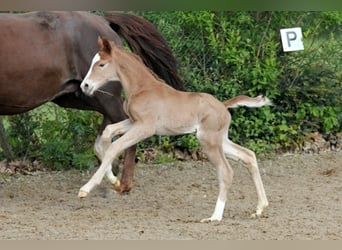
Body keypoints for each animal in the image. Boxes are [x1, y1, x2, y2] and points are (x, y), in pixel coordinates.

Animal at [79, 36, 270, 222]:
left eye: (101, 64)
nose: (85, 86)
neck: (142, 88)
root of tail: (223, 106)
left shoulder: (146, 127)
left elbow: (115, 146)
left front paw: (87, 188)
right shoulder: (133, 122)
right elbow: (108, 132)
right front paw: (113, 178)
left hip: (209, 142)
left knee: (226, 171)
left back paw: (215, 216)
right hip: (220, 141)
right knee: (248, 156)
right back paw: (260, 208)